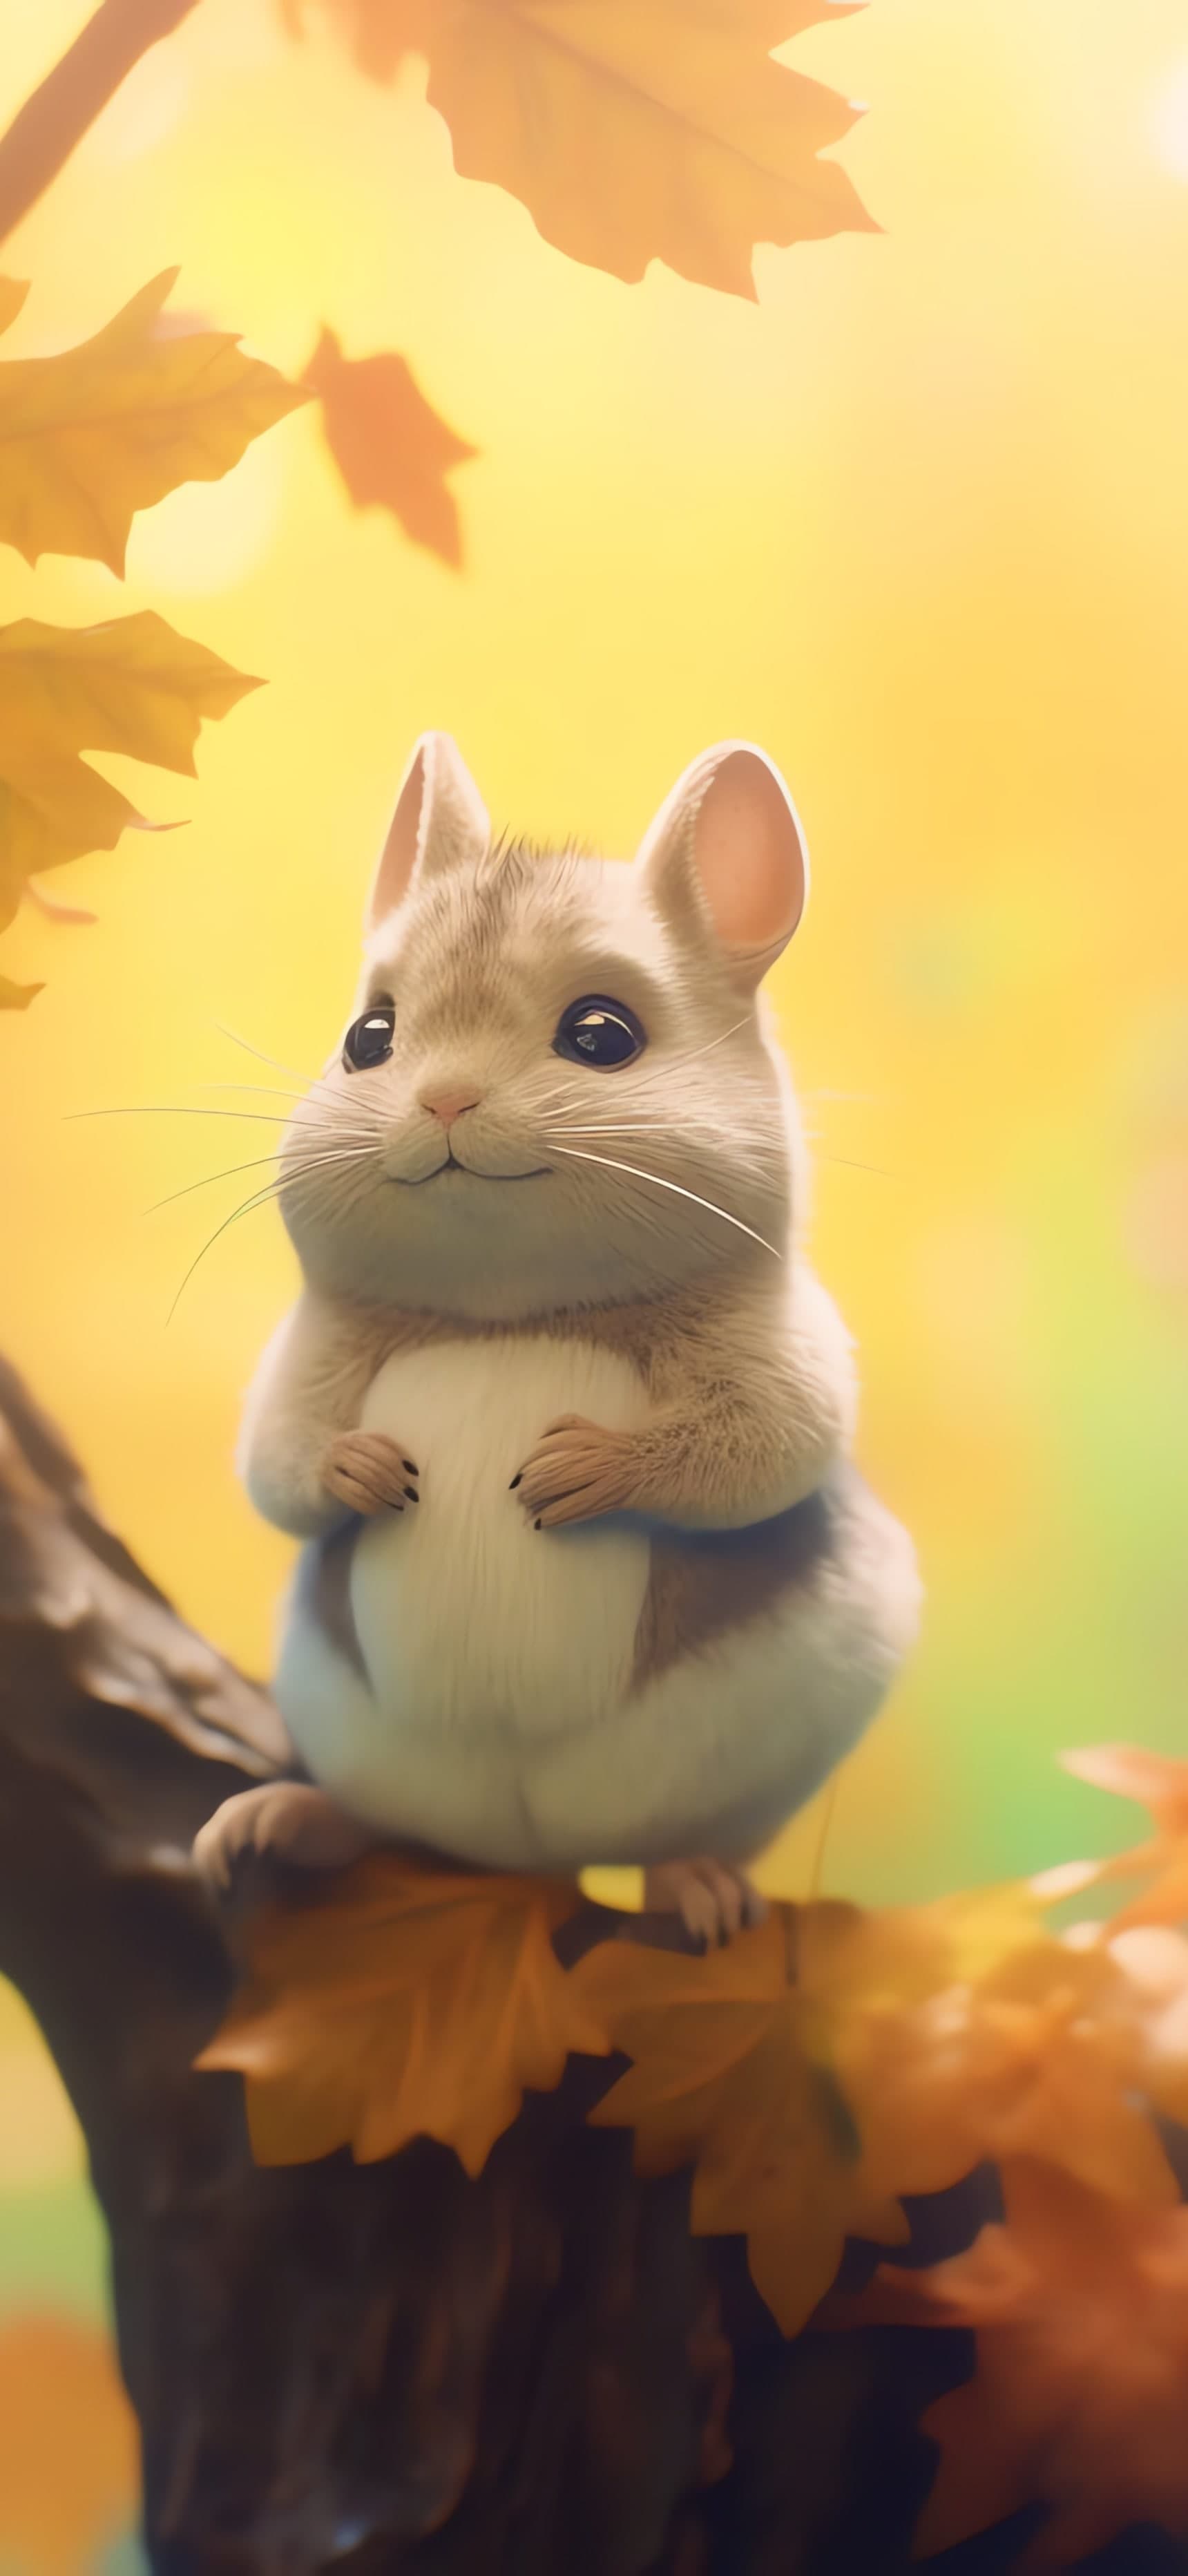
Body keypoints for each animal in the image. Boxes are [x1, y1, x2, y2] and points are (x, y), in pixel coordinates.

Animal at [194, 733, 920, 1943]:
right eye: (368, 1039)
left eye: (602, 1037)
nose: (442, 1100)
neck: (511, 1310)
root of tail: (530, 1859)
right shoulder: (308, 1361)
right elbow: (278, 1462)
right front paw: (358, 1469)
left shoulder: (780, 1347)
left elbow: (763, 1447)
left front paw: (589, 1468)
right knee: (382, 1828)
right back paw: (284, 1821)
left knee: (688, 1843)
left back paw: (696, 1888)